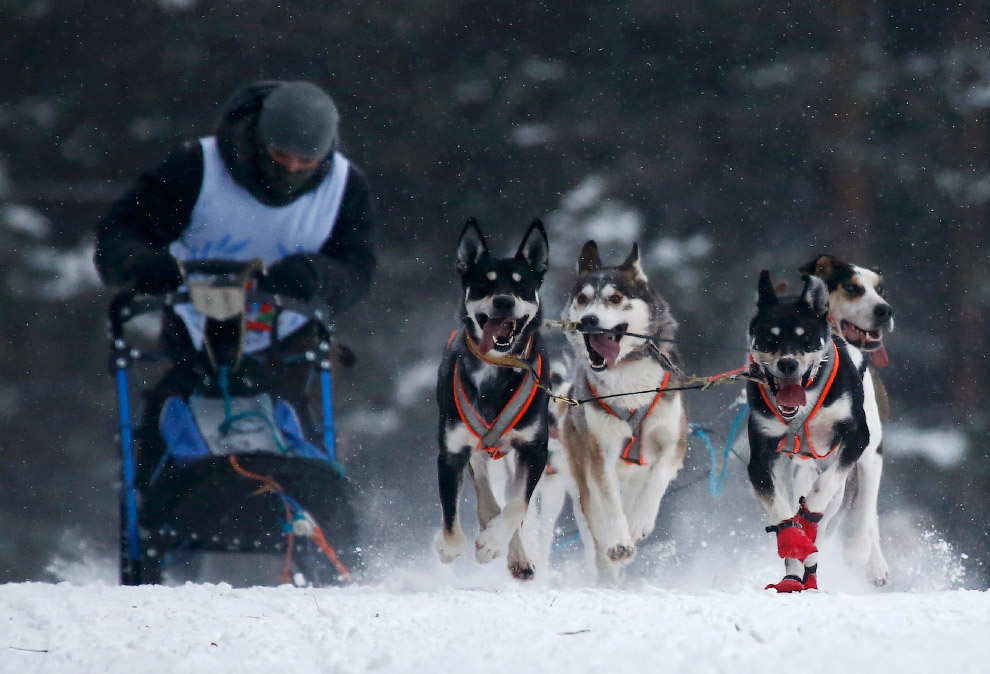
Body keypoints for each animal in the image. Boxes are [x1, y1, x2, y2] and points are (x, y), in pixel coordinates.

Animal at [436, 217, 556, 576]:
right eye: (484, 283)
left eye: (521, 285)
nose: (503, 301)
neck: (496, 369)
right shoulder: (451, 453)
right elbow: (452, 521)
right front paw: (448, 547)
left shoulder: (534, 449)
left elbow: (517, 506)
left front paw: (492, 542)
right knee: (485, 492)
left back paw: (515, 554)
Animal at [556, 242, 684, 584]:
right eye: (582, 298)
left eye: (614, 298)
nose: (588, 319)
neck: (629, 388)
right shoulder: (600, 454)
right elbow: (610, 504)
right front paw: (619, 542)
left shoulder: (674, 442)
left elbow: (657, 478)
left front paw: (639, 521)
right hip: (582, 479)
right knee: (597, 528)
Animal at [748, 270, 888, 592]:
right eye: (770, 337)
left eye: (806, 338)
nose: (788, 363)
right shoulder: (759, 459)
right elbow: (782, 511)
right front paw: (793, 536)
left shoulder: (857, 437)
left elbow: (822, 491)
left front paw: (809, 513)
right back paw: (794, 576)